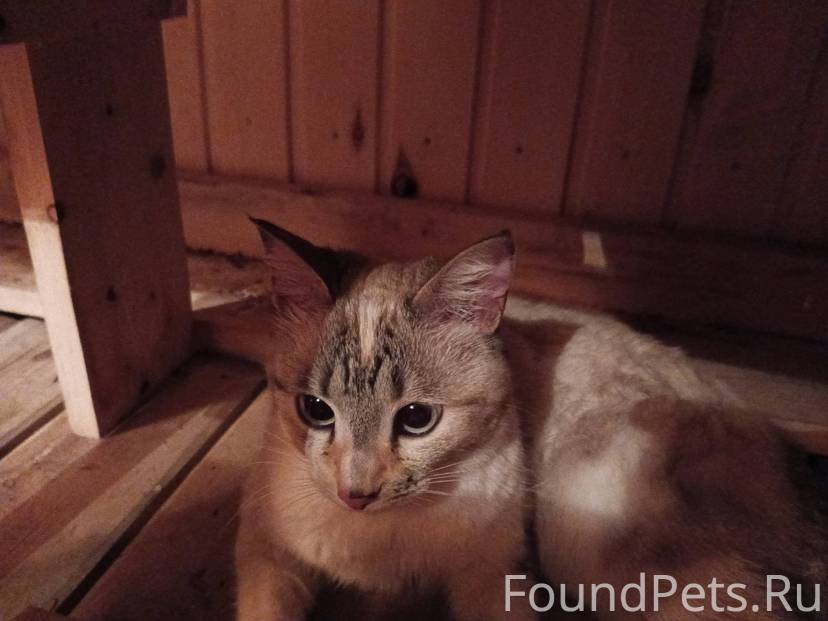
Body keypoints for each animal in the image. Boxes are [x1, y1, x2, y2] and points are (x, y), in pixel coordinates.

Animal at [235, 219, 826, 620]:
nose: (355, 494)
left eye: (417, 419)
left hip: (586, 529)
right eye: (315, 410)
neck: (374, 541)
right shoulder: (267, 551)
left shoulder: (498, 574)